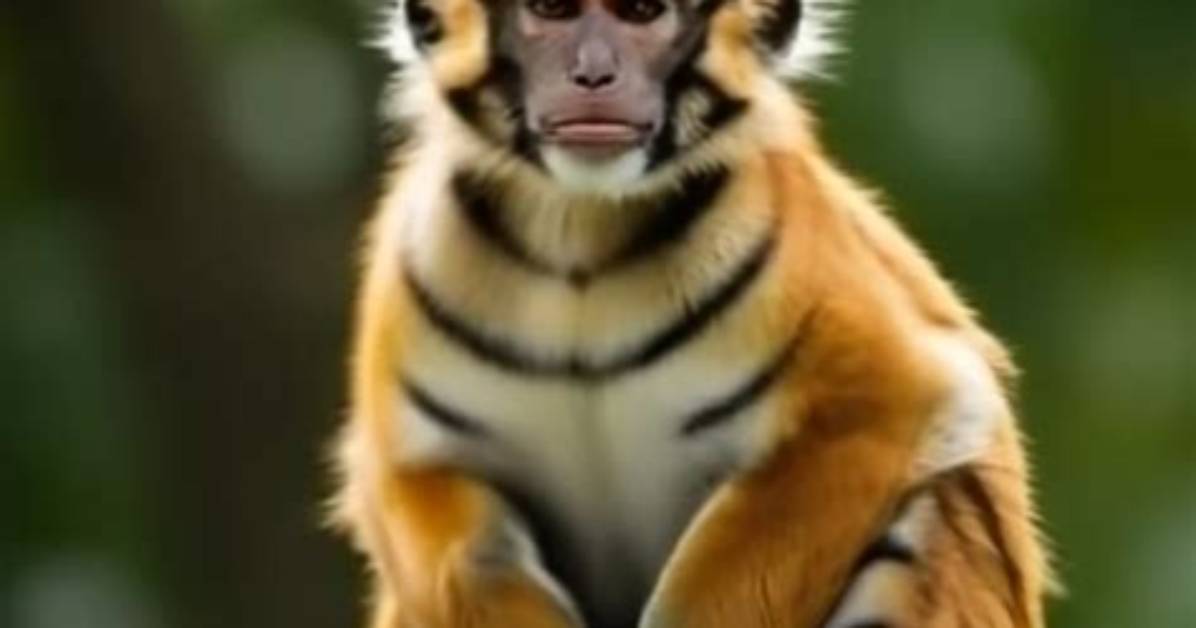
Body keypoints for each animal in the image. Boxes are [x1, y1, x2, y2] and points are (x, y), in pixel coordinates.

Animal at [329, 0, 1053, 626]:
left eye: (642, 12)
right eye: (552, 9)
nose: (594, 74)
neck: (577, 230)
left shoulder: (880, 401)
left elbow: (718, 578)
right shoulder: (405, 463)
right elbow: (474, 560)